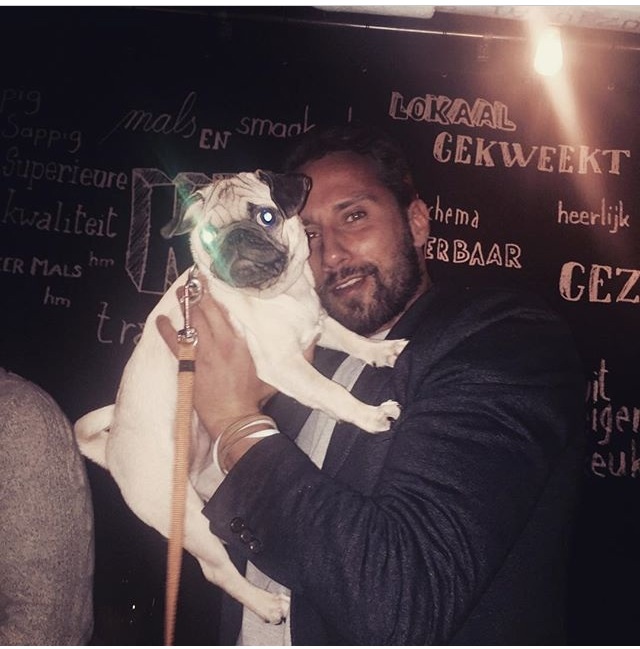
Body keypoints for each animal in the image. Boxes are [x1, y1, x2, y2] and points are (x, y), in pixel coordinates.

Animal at [74, 170, 408, 625]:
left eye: (267, 216)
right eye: (208, 234)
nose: (234, 238)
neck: (279, 296)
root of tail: (111, 452)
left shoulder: (319, 325)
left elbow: (352, 341)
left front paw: (382, 351)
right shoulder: (283, 363)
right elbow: (331, 392)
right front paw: (369, 414)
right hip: (182, 513)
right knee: (216, 570)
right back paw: (265, 604)